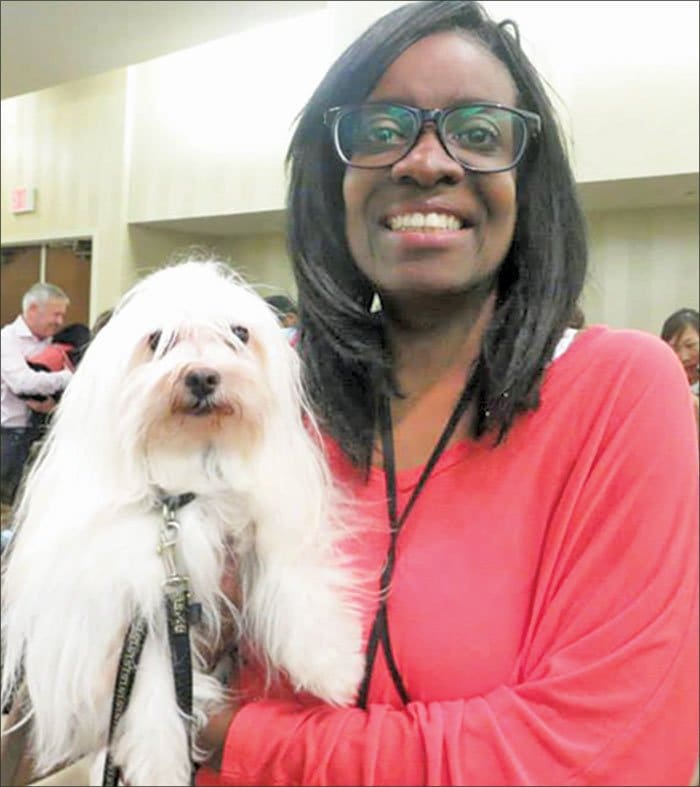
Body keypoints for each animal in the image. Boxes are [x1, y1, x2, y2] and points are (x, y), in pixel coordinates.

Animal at [1, 264, 366, 787]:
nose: (202, 376)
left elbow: (293, 577)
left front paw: (333, 666)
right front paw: (160, 766)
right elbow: (154, 689)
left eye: (239, 334)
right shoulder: (146, 604)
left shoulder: (265, 517)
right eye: (157, 340)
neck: (187, 482)